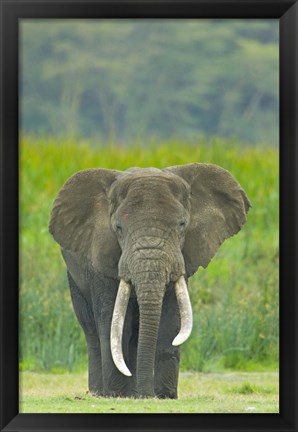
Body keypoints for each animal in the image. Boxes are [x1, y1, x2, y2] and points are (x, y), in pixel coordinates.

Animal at [49, 163, 249, 398]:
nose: (148, 395)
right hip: (74, 277)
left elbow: (171, 323)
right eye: (118, 228)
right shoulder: (101, 258)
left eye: (182, 225)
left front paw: (164, 396)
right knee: (92, 330)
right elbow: (114, 324)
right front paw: (117, 395)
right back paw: (102, 393)